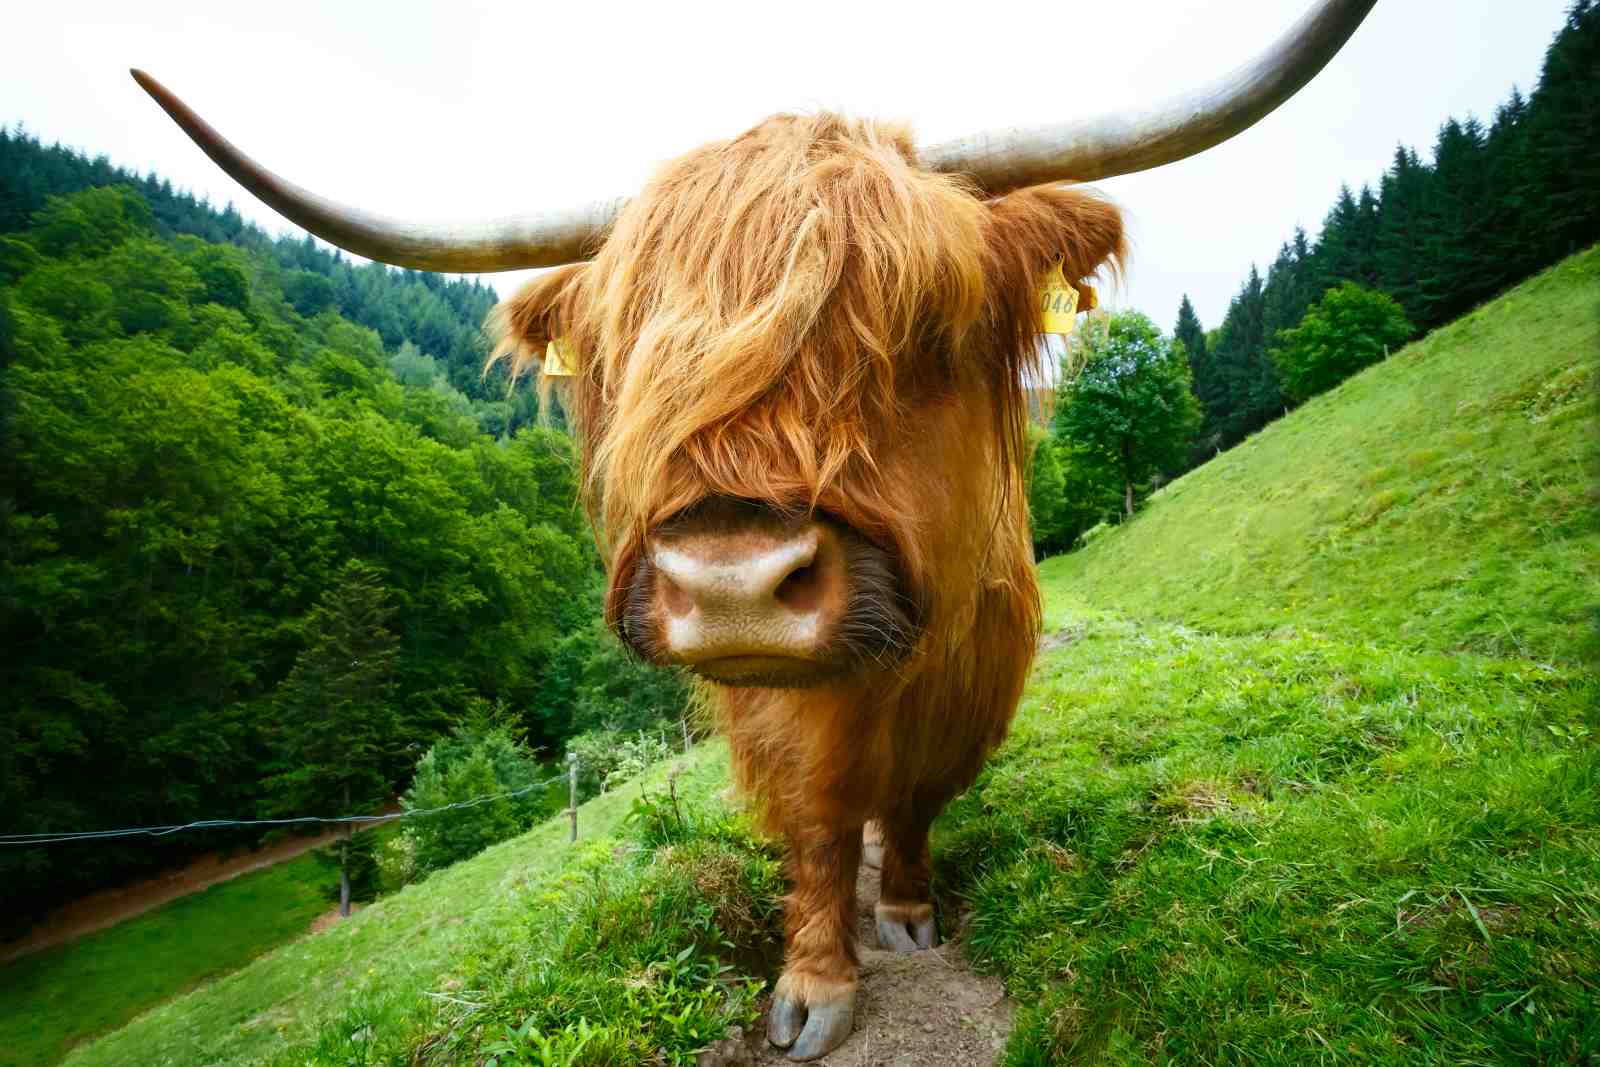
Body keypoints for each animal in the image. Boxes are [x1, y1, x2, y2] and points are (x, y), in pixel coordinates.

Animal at [134, 2, 1374, 1057]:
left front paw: (907, 906)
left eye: (928, 324)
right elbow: (819, 823)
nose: (730, 584)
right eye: (640, 357)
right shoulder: (780, 709)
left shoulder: (972, 685)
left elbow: (913, 805)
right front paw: (814, 981)